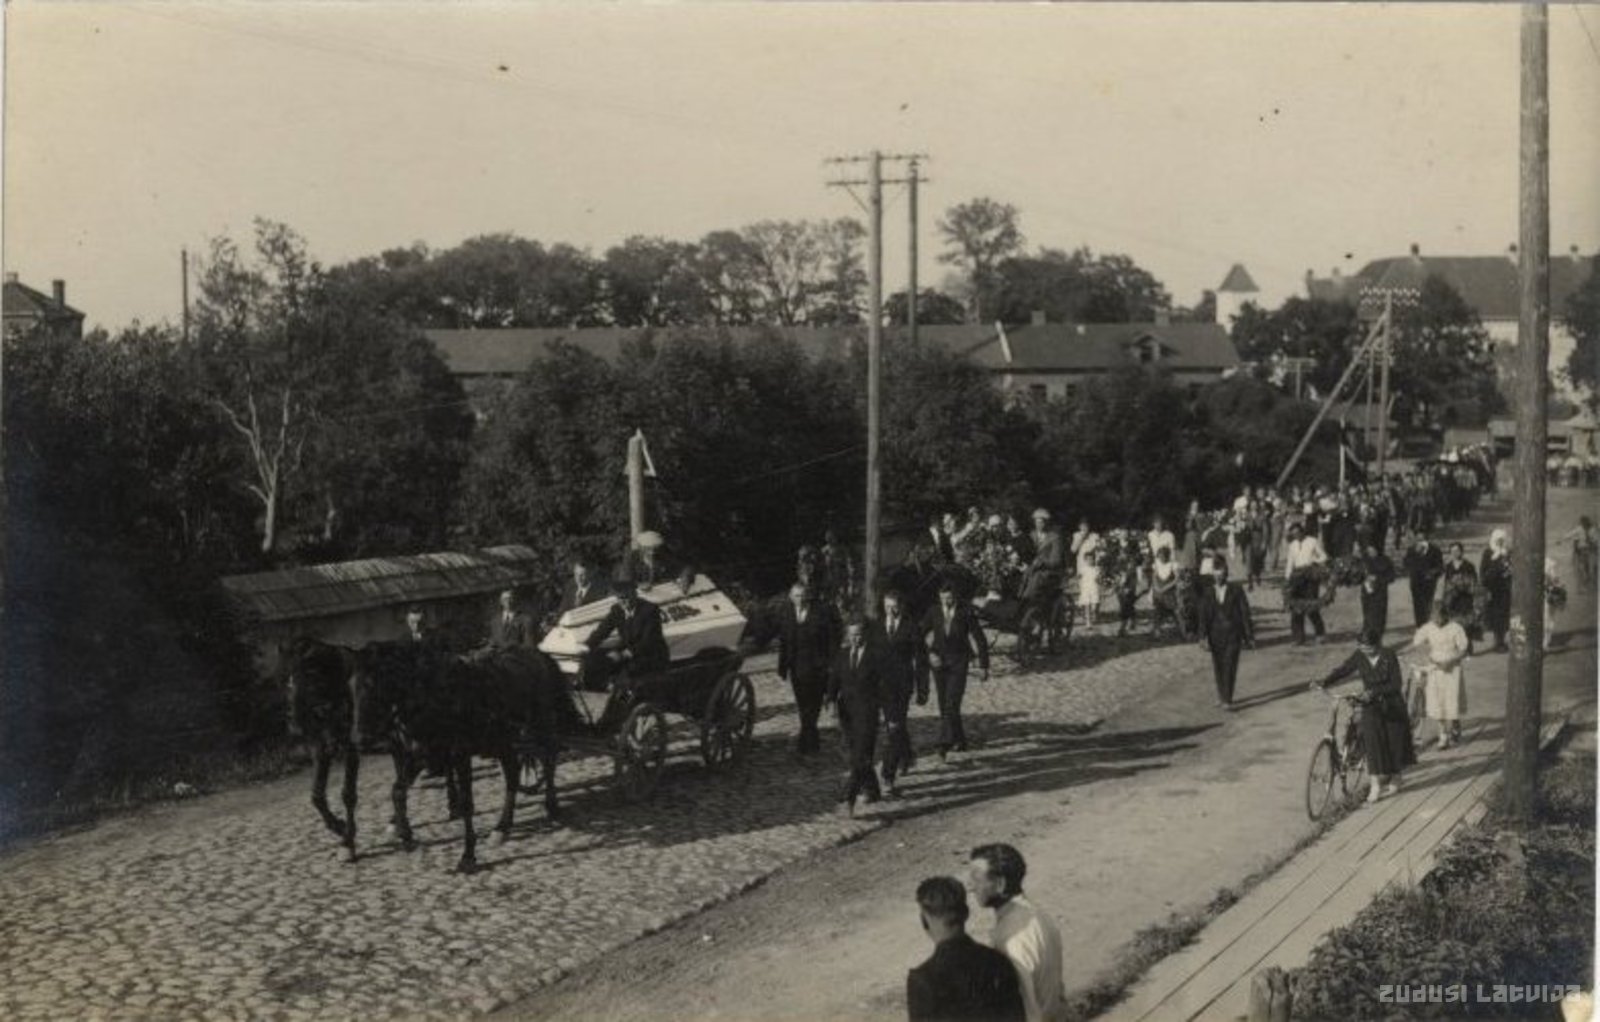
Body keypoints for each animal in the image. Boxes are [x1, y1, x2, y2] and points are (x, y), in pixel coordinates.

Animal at [352, 643, 577, 874]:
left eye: (375, 686)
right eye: (352, 687)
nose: (360, 739)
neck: (434, 694)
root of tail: (539, 653)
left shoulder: (459, 755)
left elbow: (467, 803)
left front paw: (467, 856)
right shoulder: (422, 756)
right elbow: (397, 790)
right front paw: (405, 834)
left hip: (540, 727)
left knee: (549, 760)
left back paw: (551, 805)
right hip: (502, 742)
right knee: (513, 776)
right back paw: (502, 827)